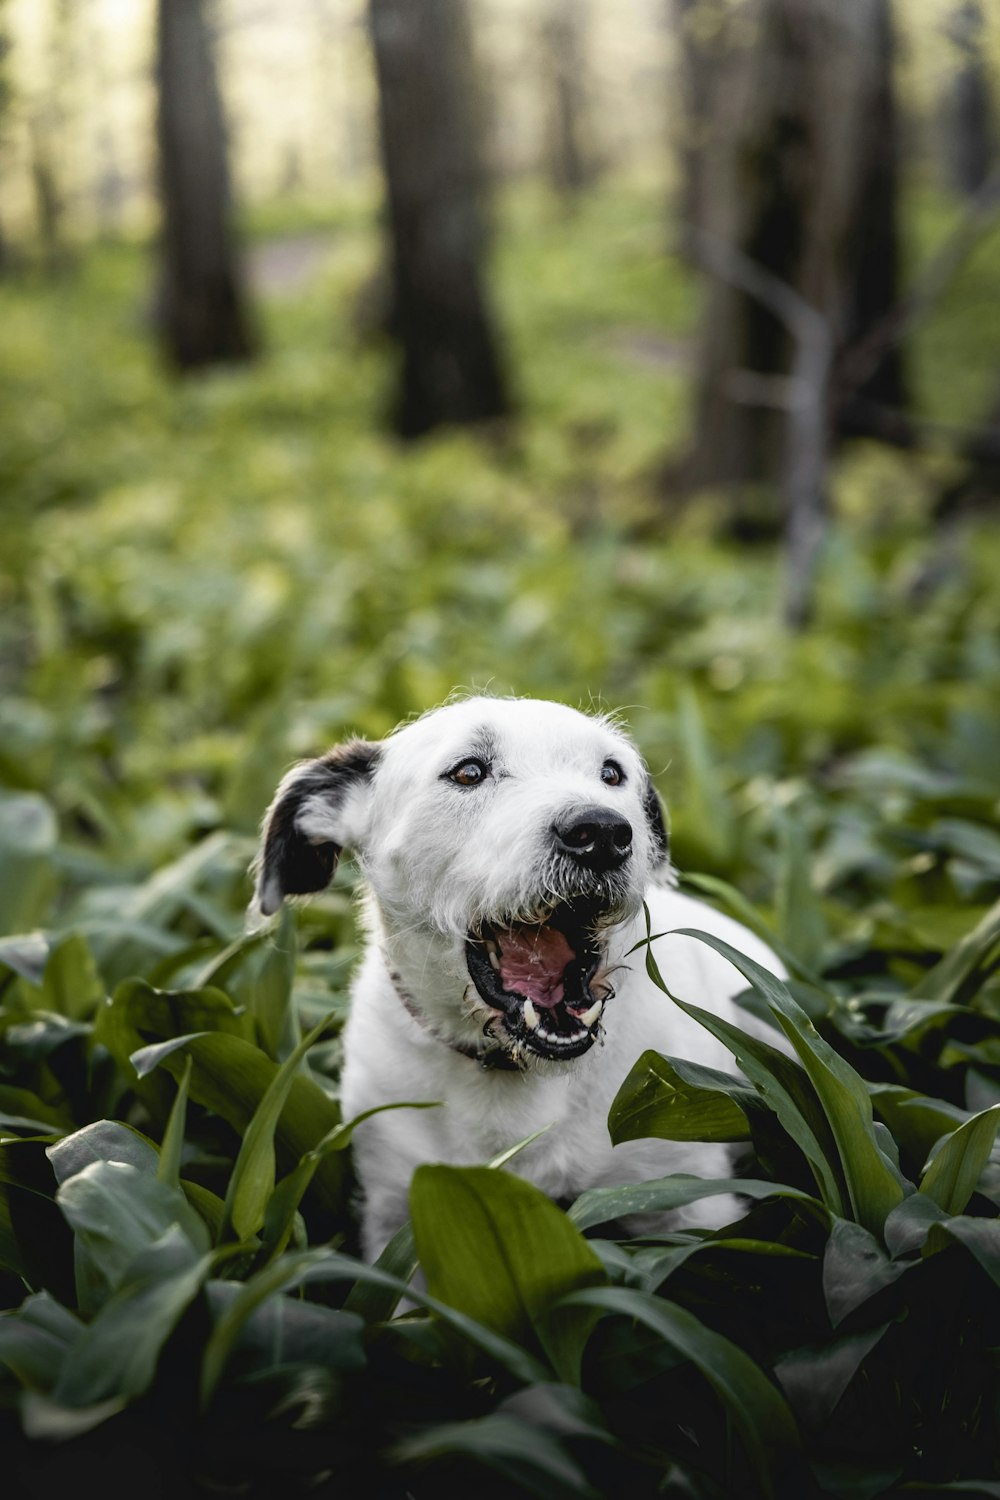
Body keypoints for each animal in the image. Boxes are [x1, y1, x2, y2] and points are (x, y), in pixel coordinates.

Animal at [251, 696, 791, 1260]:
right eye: (468, 771)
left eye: (611, 773)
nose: (602, 832)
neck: (515, 1071)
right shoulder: (396, 1210)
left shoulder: (688, 1194)